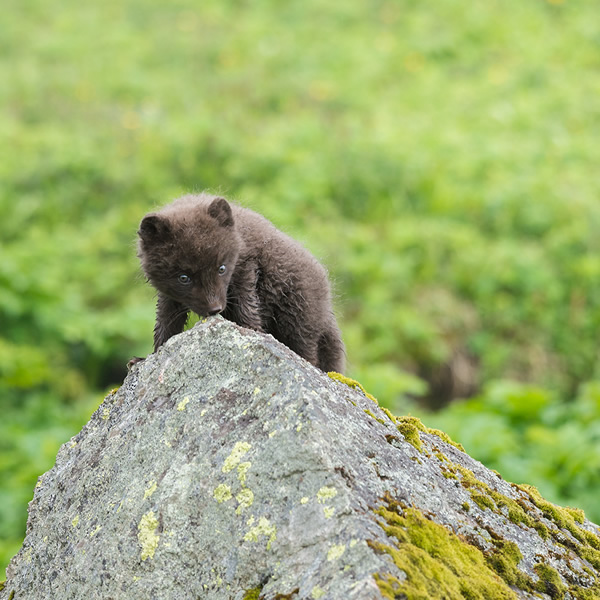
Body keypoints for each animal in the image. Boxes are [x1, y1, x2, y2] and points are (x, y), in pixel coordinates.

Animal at [134, 192, 344, 372]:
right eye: (183, 278)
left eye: (222, 268)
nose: (215, 309)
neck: (240, 237)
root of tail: (328, 307)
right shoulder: (168, 294)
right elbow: (164, 322)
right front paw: (147, 357)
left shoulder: (247, 266)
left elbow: (247, 303)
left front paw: (252, 331)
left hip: (298, 320)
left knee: (309, 353)